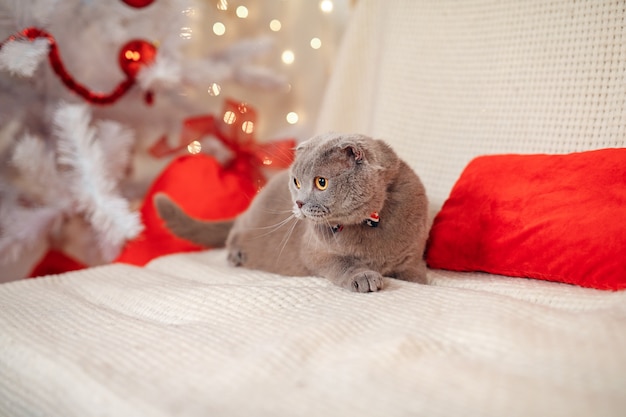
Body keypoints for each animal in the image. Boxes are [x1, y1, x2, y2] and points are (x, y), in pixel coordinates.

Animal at [155, 132, 428, 290]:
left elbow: (416, 274)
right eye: (296, 182)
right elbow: (342, 263)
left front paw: (422, 281)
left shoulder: (413, 254)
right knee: (234, 234)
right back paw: (237, 256)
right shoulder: (315, 252)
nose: (298, 203)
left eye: (321, 182)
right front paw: (363, 277)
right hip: (249, 222)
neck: (370, 221)